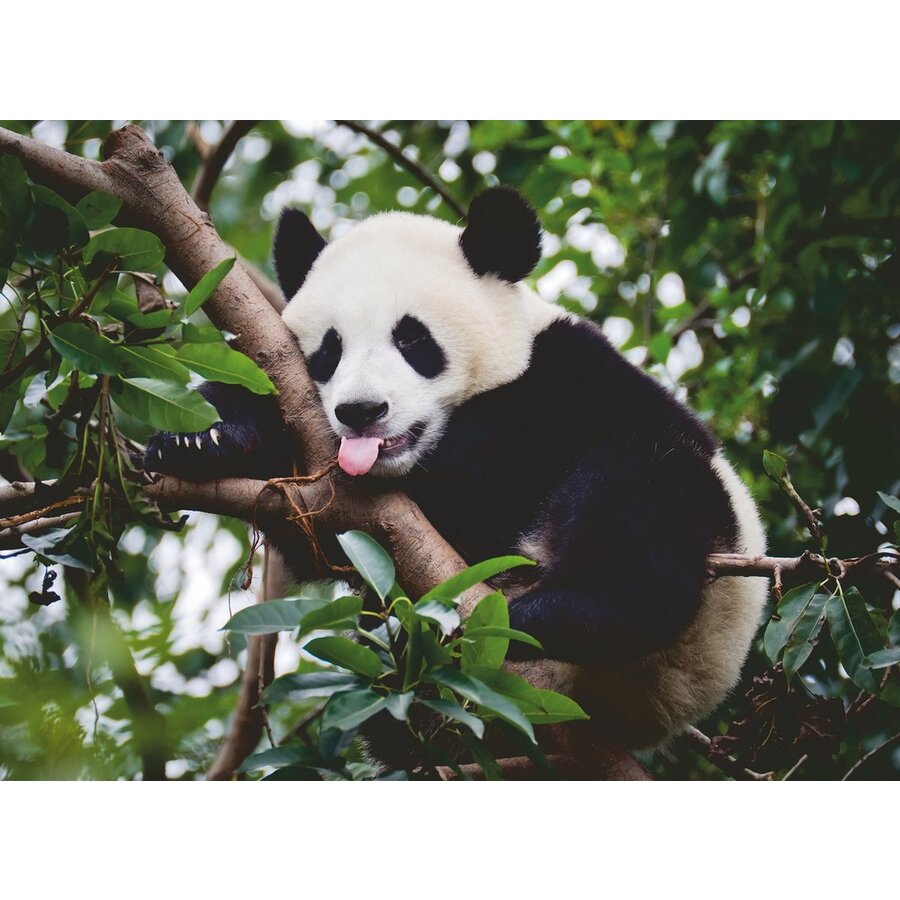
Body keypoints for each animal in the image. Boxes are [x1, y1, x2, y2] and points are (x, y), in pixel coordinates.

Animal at [145, 186, 768, 753]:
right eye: (329, 350)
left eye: (413, 339)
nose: (362, 411)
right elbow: (313, 534)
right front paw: (198, 436)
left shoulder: (571, 381)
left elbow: (487, 477)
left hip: (698, 613)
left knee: (644, 492)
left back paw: (550, 615)